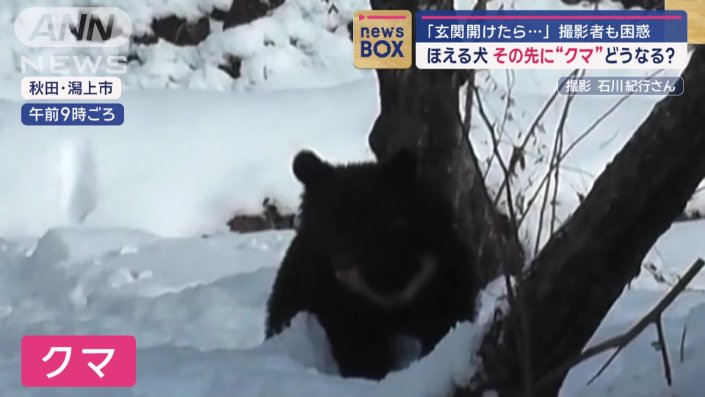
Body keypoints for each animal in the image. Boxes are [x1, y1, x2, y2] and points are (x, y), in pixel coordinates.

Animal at [262, 148, 478, 378]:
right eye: (327, 224)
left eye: (368, 222)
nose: (343, 263)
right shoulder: (326, 287)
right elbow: (357, 341)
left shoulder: (435, 267)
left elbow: (447, 312)